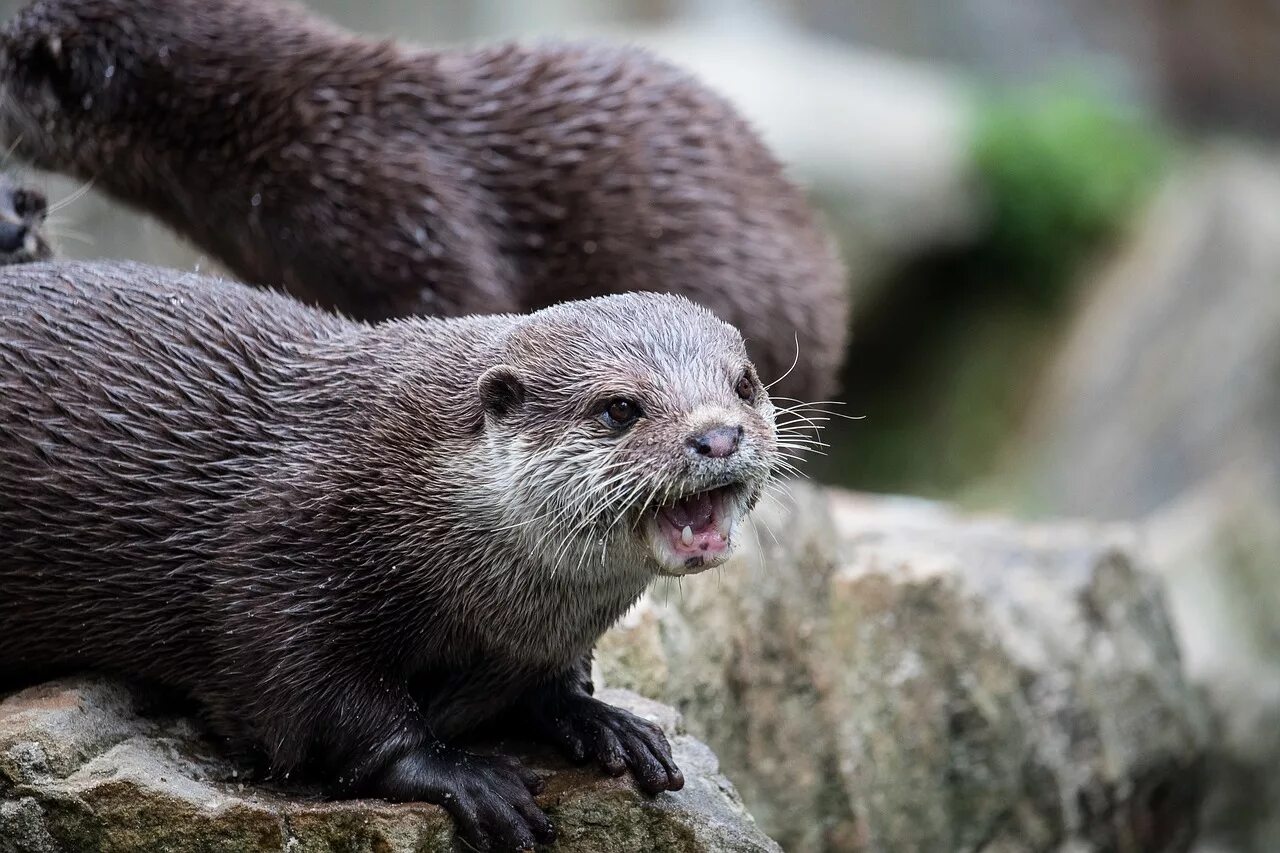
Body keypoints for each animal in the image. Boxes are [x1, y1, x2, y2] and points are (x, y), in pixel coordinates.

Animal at [0, 261, 778, 850]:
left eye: (744, 384)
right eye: (618, 408)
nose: (717, 435)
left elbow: (551, 684)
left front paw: (600, 720)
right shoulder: (279, 563)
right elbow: (308, 700)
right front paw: (464, 775)